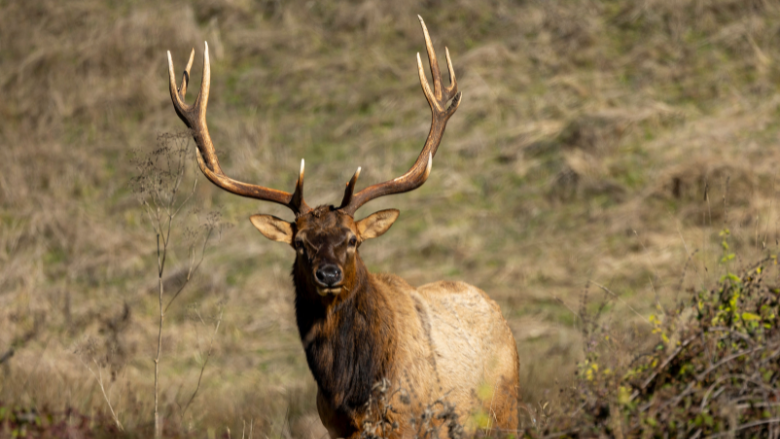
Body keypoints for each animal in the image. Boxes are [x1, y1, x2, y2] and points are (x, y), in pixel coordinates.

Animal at [166, 16, 520, 438]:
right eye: (300, 242)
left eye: (353, 240)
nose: (329, 274)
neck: (352, 394)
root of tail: (500, 315)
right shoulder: (334, 426)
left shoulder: (409, 420)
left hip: (505, 413)